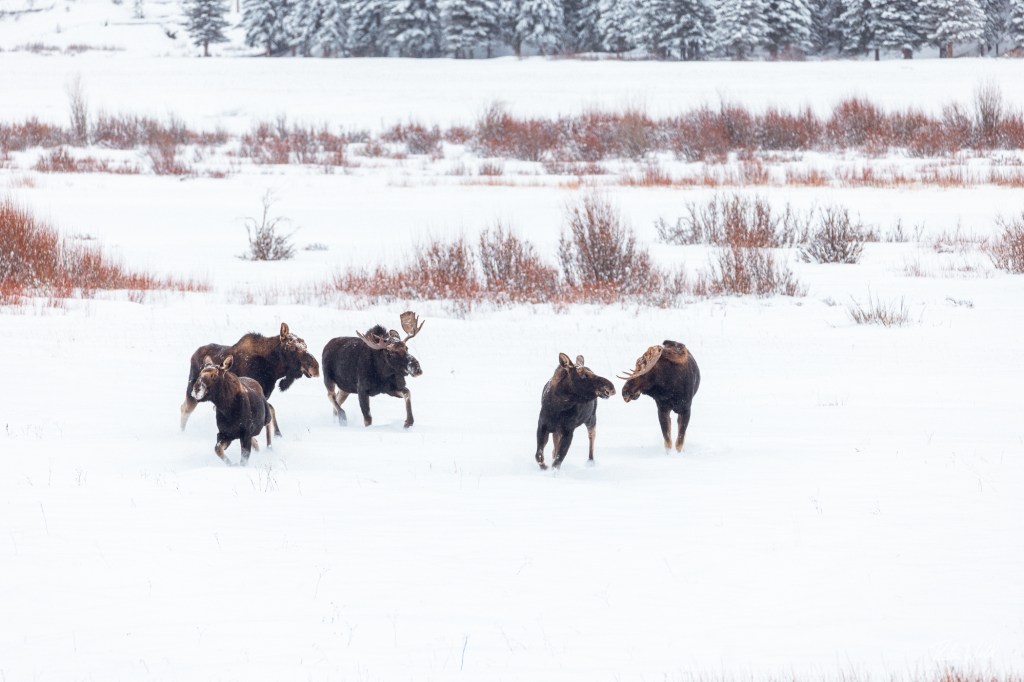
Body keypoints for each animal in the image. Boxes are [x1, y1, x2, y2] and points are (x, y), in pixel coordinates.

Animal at [180, 322, 319, 435]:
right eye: (291, 347)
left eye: (305, 345)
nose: (316, 368)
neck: (272, 368)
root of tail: (193, 355)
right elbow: (270, 410)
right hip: (192, 390)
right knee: (185, 409)